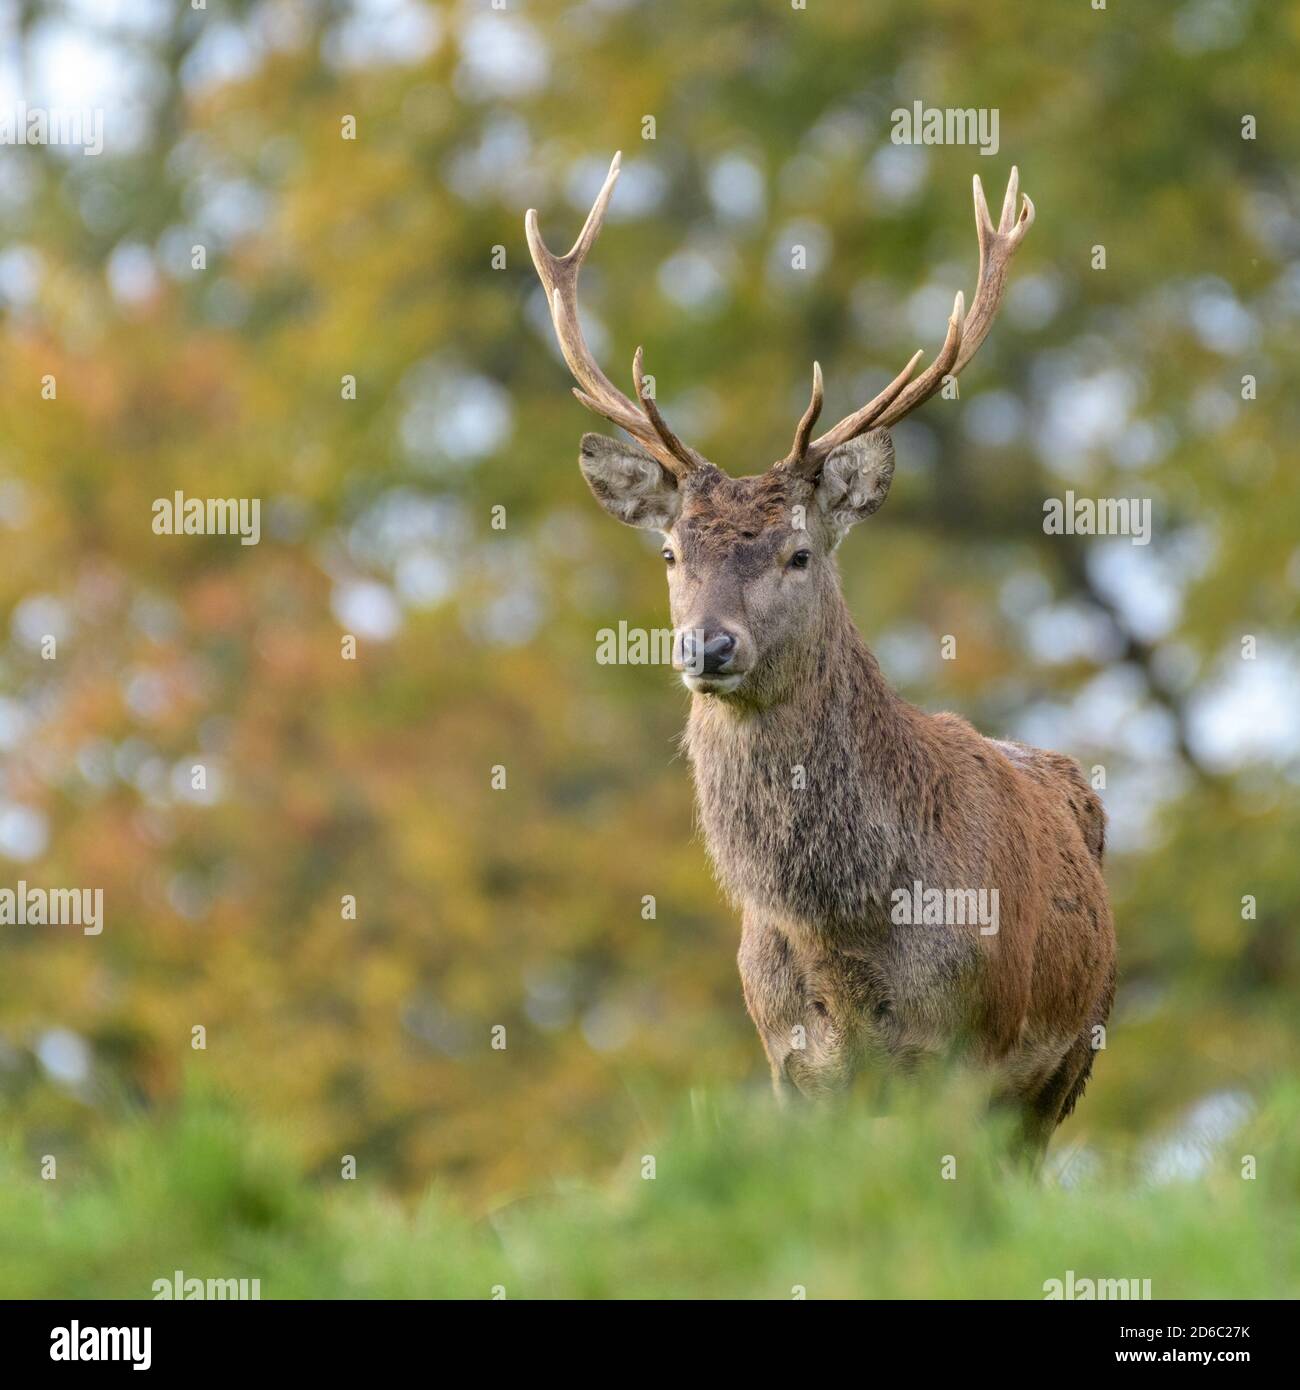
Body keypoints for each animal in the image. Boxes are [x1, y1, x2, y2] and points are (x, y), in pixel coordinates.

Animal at [526, 154, 1115, 1159]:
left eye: (799, 553)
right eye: (671, 552)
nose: (709, 643)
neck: (845, 944)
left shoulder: (971, 1053)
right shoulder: (790, 1061)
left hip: (1069, 1064)